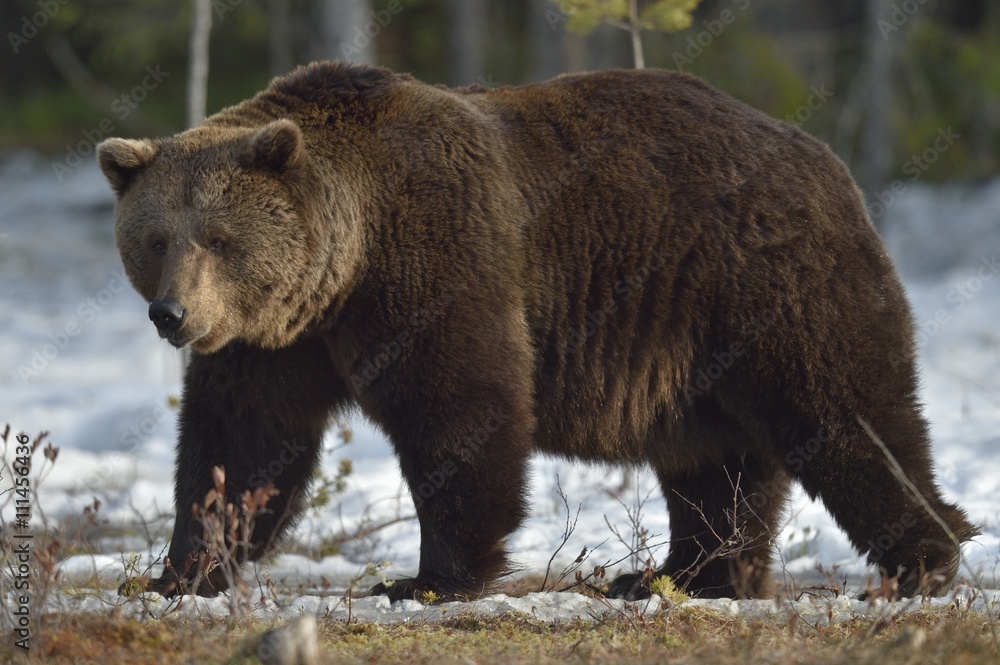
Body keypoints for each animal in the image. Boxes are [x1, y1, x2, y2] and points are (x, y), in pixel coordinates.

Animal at [99, 62, 976, 600]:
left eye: (218, 238)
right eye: (156, 238)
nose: (172, 314)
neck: (345, 265)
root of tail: (823, 155)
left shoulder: (438, 261)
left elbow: (462, 410)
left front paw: (427, 578)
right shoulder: (277, 341)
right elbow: (241, 444)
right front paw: (180, 570)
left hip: (765, 282)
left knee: (850, 414)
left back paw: (924, 559)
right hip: (697, 347)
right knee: (714, 462)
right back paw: (681, 576)